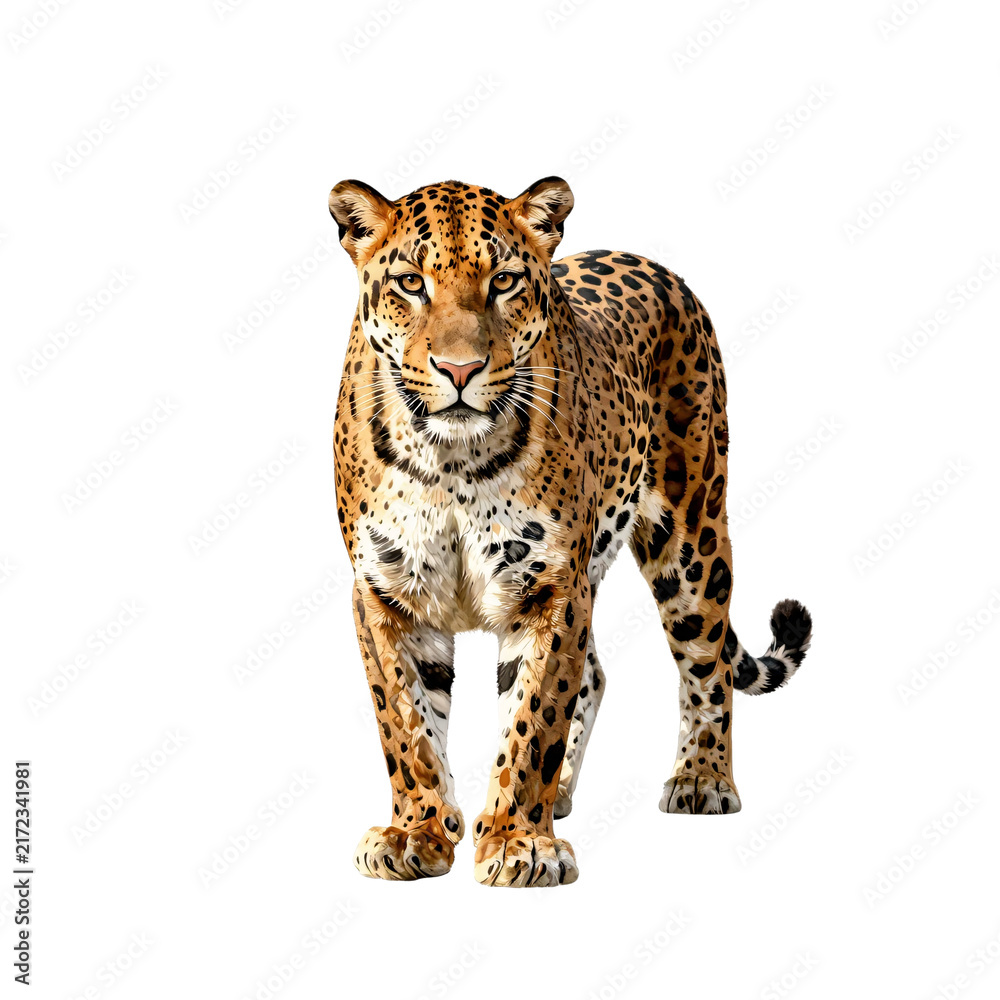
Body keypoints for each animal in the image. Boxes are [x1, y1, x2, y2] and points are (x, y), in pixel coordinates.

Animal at [328, 175, 812, 887]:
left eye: (502, 281)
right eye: (411, 283)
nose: (459, 370)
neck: (453, 460)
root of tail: (652, 264)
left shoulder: (550, 587)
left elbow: (533, 718)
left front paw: (518, 844)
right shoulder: (386, 593)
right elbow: (407, 727)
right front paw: (417, 834)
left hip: (693, 531)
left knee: (706, 659)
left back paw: (701, 780)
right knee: (596, 674)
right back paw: (554, 796)